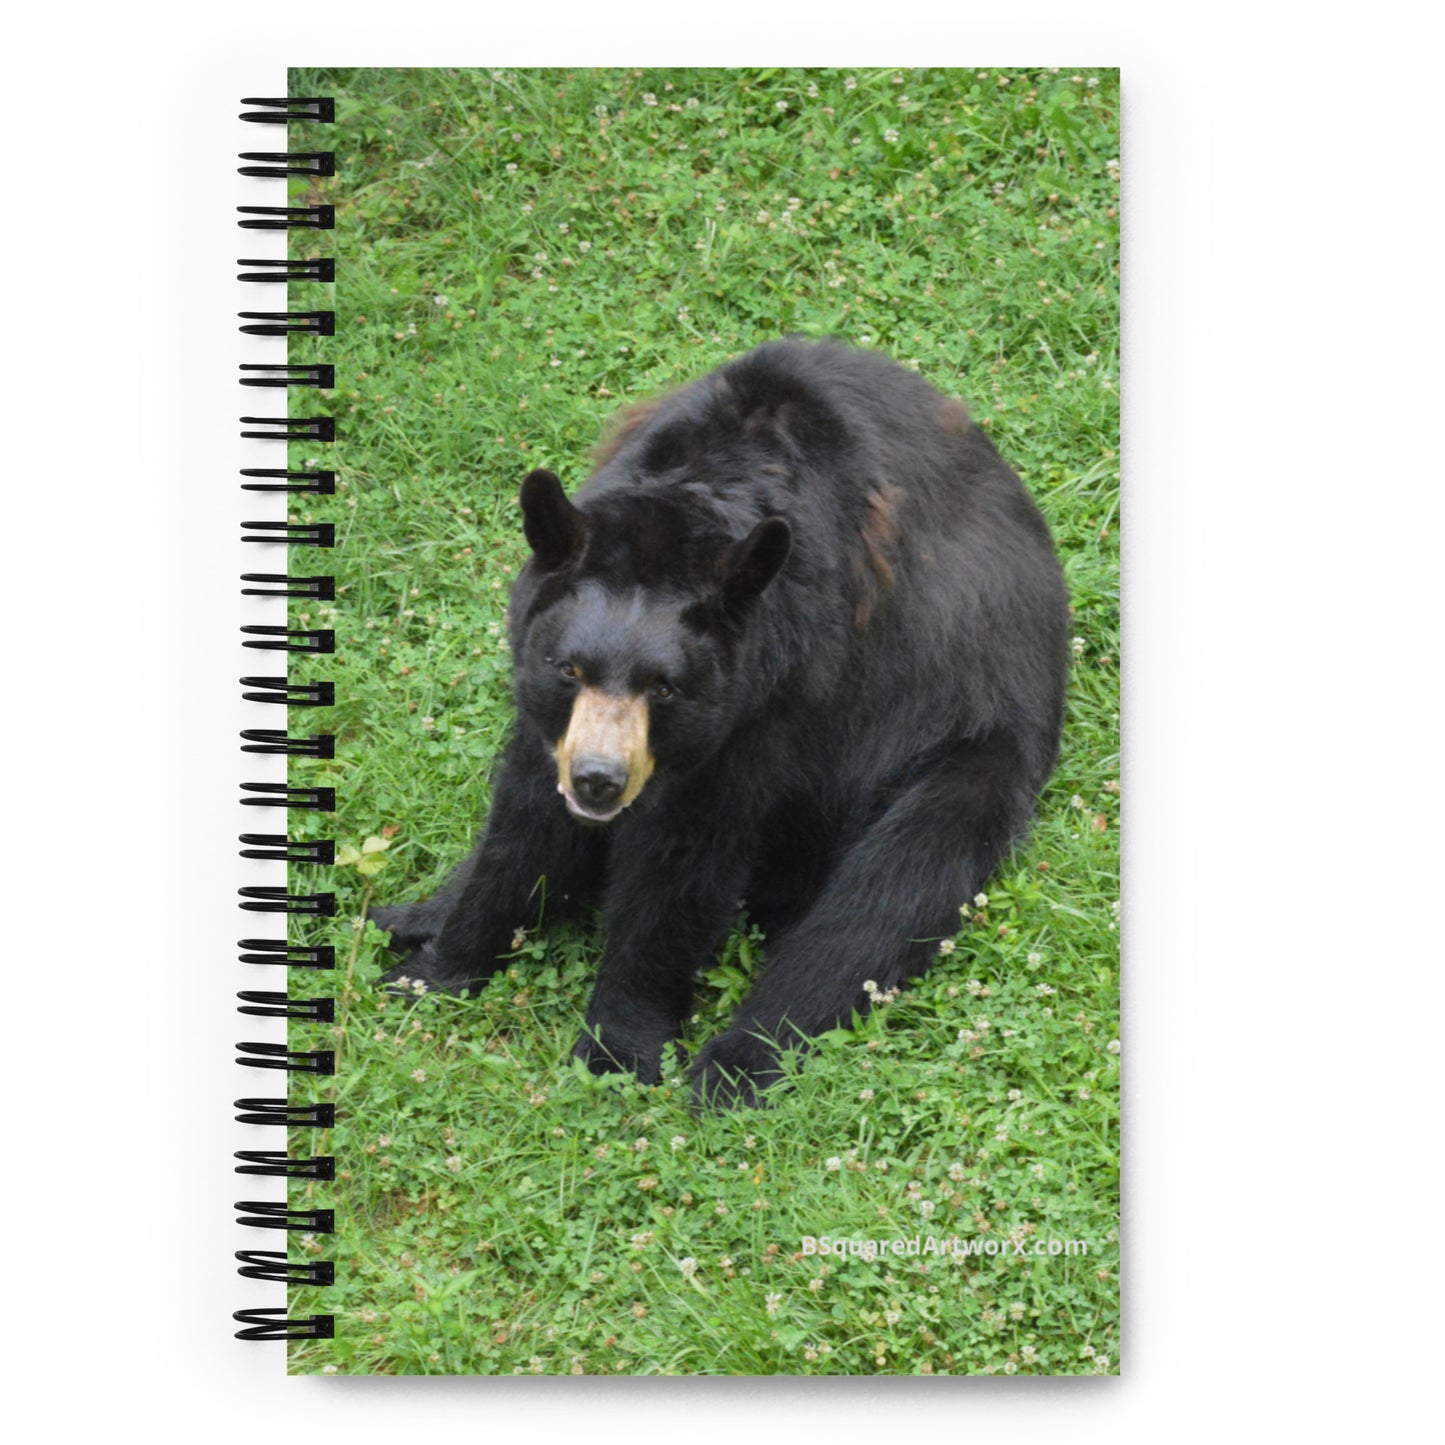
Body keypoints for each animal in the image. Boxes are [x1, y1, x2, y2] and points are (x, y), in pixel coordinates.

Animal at [370, 337, 1069, 1106]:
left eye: (665, 687)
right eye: (569, 668)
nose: (597, 782)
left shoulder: (776, 700)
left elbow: (685, 863)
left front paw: (619, 1051)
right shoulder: (552, 715)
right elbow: (523, 823)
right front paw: (432, 971)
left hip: (965, 740)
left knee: (884, 896)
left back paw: (736, 1063)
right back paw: (410, 913)